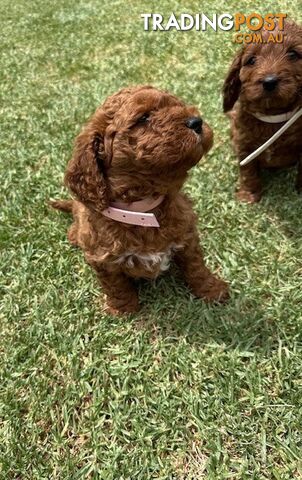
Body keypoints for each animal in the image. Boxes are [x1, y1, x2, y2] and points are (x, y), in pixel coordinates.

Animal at [50, 84, 228, 314]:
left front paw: (213, 290)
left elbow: (196, 266)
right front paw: (124, 309)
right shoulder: (102, 259)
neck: (142, 211)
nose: (196, 122)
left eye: (176, 104)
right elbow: (115, 285)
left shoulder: (187, 235)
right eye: (143, 118)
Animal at [222, 20, 302, 201]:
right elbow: (248, 171)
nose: (269, 81)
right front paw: (248, 195)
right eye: (251, 60)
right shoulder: (244, 144)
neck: (273, 116)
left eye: (293, 54)